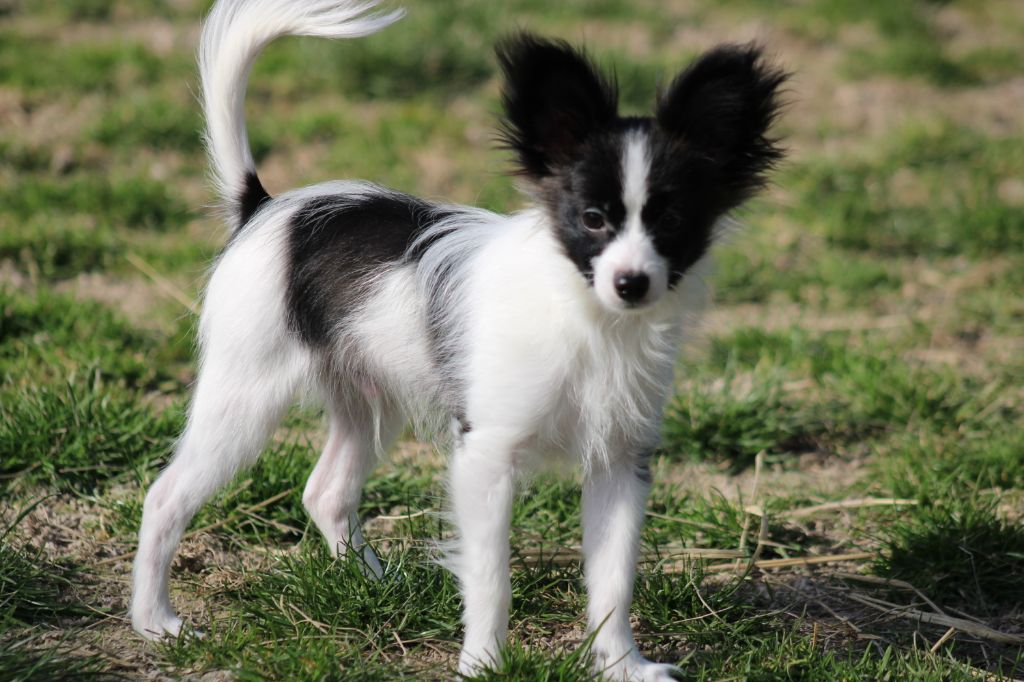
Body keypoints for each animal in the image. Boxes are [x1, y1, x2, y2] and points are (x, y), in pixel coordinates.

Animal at [129, 1, 785, 679]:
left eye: (673, 221)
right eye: (592, 219)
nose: (631, 283)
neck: (587, 319)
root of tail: (263, 207)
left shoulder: (620, 460)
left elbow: (612, 580)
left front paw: (623, 665)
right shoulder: (486, 457)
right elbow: (490, 575)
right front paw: (485, 665)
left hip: (367, 400)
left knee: (326, 492)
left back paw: (379, 587)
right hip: (245, 395)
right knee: (165, 497)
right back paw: (157, 623)